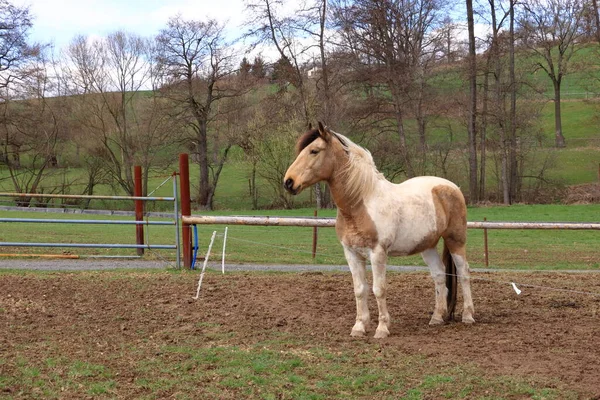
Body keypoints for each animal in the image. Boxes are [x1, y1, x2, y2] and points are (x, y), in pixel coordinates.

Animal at [282, 121, 474, 338]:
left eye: (314, 151)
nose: (288, 182)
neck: (359, 203)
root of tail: (452, 187)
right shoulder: (351, 253)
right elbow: (360, 289)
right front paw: (359, 327)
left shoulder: (378, 253)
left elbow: (378, 289)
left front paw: (382, 329)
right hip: (427, 246)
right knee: (439, 275)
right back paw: (436, 318)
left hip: (455, 240)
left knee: (463, 272)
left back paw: (468, 316)